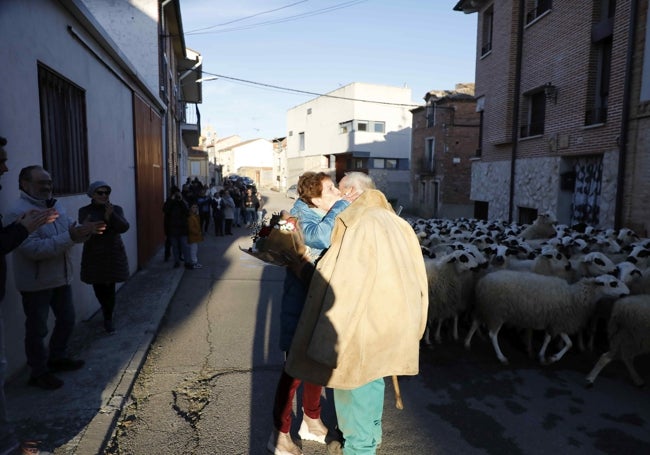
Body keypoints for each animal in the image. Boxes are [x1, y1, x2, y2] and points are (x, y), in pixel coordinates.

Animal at [464, 272, 624, 366]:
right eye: (613, 283)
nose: (625, 293)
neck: (574, 296)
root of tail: (482, 281)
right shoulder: (557, 321)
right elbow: (552, 340)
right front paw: (545, 357)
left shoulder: (558, 322)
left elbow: (567, 343)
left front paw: (550, 357)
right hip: (497, 312)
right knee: (493, 334)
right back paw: (501, 357)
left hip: (486, 308)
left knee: (475, 322)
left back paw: (467, 343)